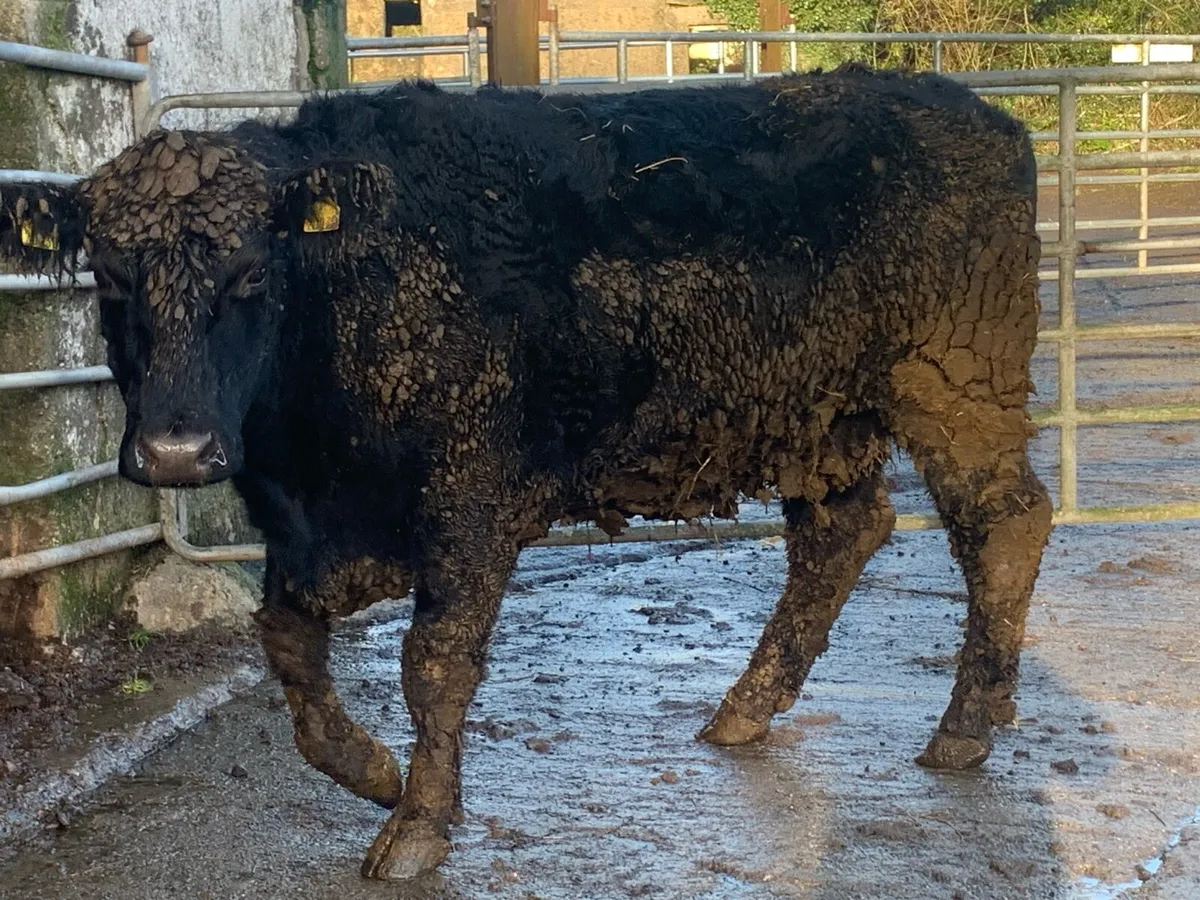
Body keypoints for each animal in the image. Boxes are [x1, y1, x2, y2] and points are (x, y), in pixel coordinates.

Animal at [0, 64, 1052, 879]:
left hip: (957, 385)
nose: (176, 450)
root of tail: (972, 113)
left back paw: (967, 725)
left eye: (253, 273)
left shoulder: (472, 500)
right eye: (108, 278)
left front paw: (418, 825)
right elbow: (289, 651)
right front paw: (371, 771)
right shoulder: (301, 529)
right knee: (843, 535)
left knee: (1005, 521)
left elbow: (434, 663)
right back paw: (744, 712)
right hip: (820, 420)